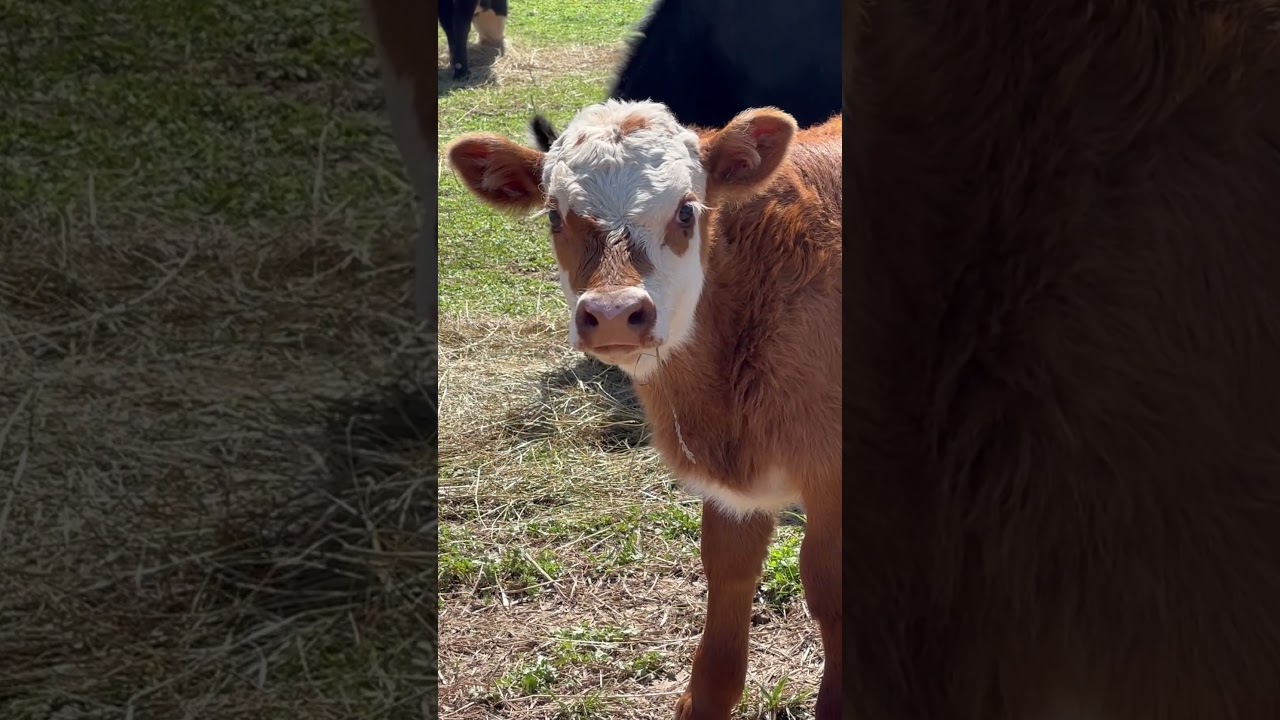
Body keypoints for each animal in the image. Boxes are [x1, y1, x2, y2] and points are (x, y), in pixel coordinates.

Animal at [446, 100, 843, 719]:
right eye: (555, 216)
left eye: (685, 211)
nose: (613, 313)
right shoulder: (732, 486)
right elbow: (727, 572)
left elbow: (827, 585)